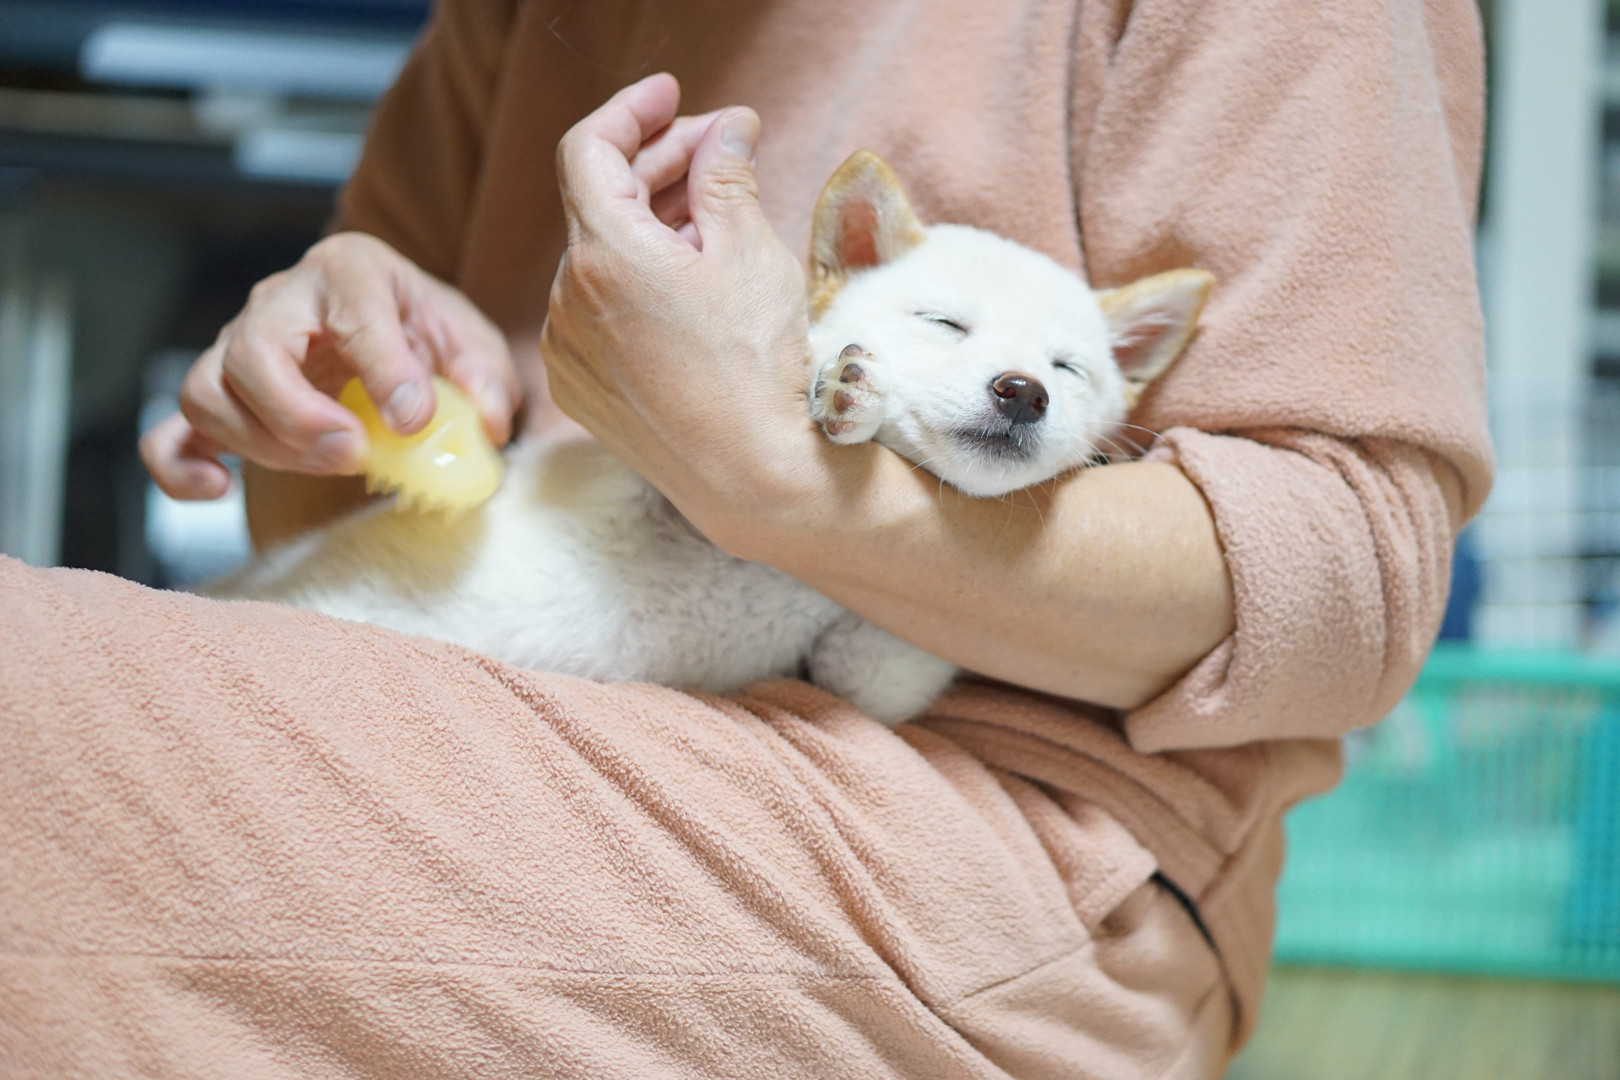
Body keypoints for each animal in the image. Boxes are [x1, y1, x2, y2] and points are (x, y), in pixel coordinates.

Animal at [213, 151, 1213, 724]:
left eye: (1069, 369)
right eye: (944, 323)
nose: (1023, 392)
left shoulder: (863, 669)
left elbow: (894, 656)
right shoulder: (647, 483)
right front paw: (840, 388)